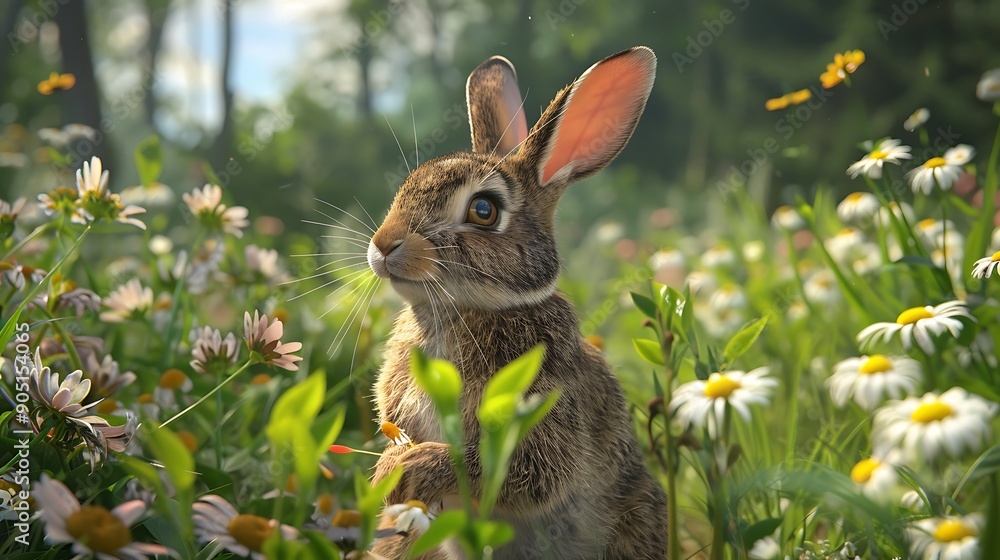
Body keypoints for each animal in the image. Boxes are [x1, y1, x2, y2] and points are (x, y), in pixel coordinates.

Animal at [368, 46, 667, 560]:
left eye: (484, 211)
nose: (384, 244)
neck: (459, 312)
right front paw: (388, 469)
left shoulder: (543, 417)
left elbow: (524, 473)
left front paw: (411, 467)